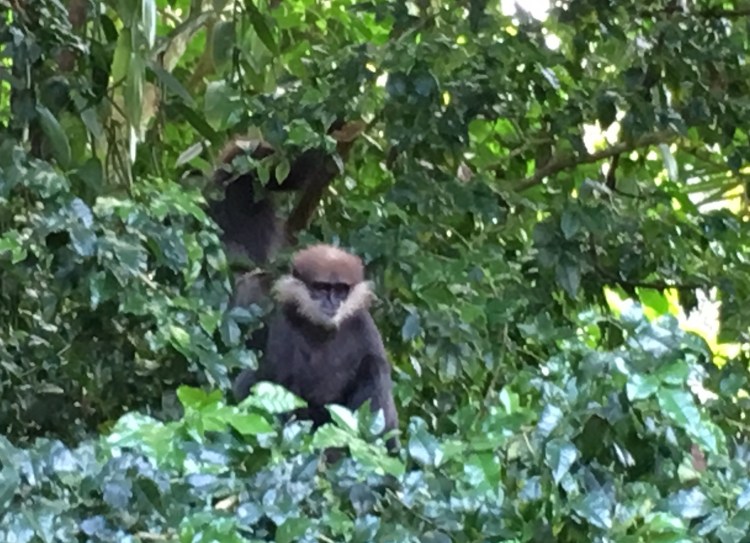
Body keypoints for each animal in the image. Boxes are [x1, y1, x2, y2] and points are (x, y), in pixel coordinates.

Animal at [232, 244, 400, 455]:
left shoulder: (364, 325)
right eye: (321, 288)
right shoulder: (285, 321)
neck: (322, 330)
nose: (332, 302)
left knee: (374, 366)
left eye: (340, 290)